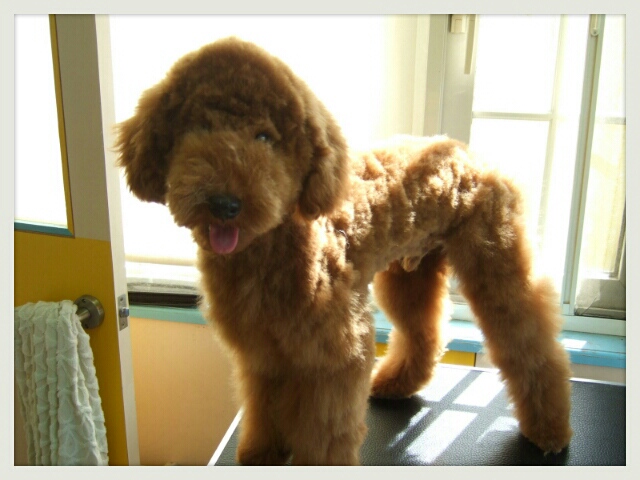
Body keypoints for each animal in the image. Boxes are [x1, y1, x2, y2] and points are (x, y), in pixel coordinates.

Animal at [116, 37, 572, 465]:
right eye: (197, 130)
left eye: (265, 137)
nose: (225, 204)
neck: (270, 251)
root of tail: (465, 151)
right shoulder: (262, 351)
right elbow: (264, 406)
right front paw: (263, 452)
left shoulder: (333, 357)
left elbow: (325, 429)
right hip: (409, 275)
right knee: (423, 332)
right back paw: (397, 382)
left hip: (495, 262)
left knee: (532, 343)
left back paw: (549, 428)